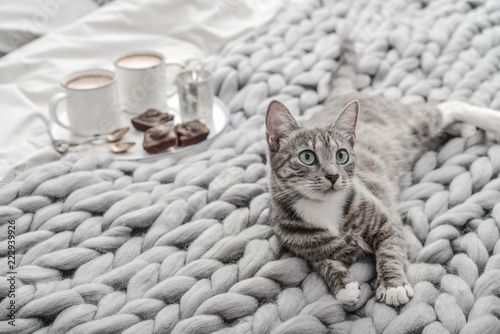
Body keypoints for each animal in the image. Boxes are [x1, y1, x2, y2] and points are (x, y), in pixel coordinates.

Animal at [268, 40, 500, 306]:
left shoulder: (386, 221)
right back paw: (463, 128)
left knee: (449, 106)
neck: (324, 208)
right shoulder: (306, 250)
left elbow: (390, 250)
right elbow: (324, 263)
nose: (333, 176)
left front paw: (393, 285)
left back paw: (490, 121)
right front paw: (344, 286)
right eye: (307, 157)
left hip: (413, 123)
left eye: (341, 156)